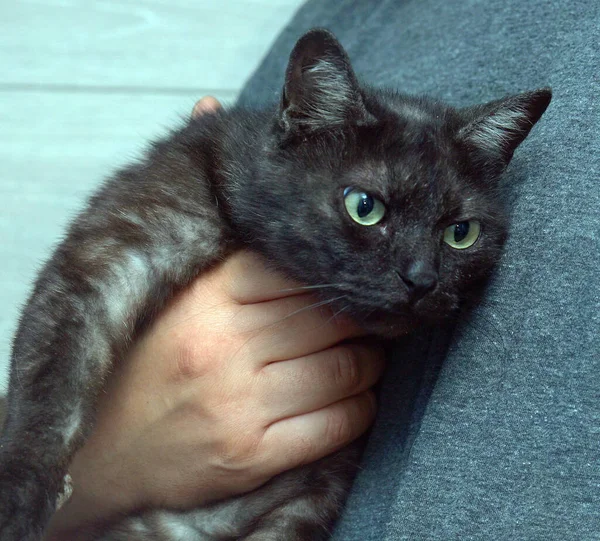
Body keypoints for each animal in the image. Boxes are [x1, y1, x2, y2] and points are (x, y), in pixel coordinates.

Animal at [0, 29, 552, 540]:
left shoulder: (309, 502)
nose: (421, 279)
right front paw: (20, 497)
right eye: (364, 207)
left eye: (461, 233)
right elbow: (53, 379)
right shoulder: (112, 256)